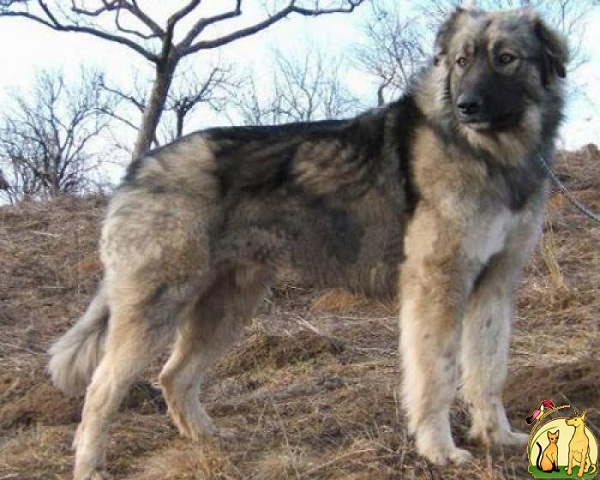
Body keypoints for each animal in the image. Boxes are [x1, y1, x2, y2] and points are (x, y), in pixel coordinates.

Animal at [48, 5, 568, 478]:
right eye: (461, 61)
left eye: (505, 59)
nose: (467, 105)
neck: (488, 153)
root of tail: (136, 171)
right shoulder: (437, 287)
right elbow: (436, 376)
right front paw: (439, 450)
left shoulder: (494, 284)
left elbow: (488, 371)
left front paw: (498, 437)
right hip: (158, 306)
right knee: (101, 390)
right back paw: (91, 465)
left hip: (228, 306)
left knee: (173, 377)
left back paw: (209, 439)